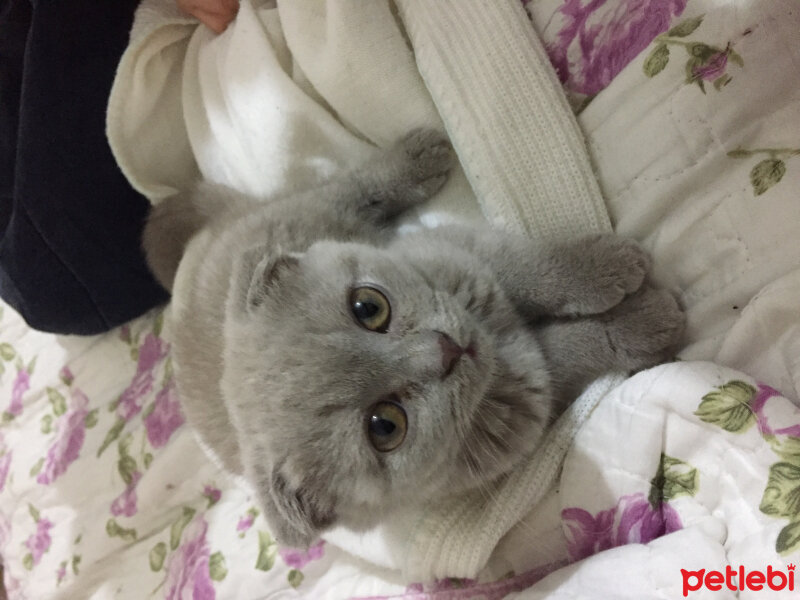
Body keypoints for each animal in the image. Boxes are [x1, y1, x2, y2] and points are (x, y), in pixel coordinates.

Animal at [142, 130, 680, 548]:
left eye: (369, 307)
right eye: (385, 426)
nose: (445, 348)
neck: (493, 336)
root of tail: (202, 243)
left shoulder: (464, 256)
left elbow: (535, 269)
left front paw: (604, 266)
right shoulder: (528, 391)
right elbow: (571, 349)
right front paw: (647, 319)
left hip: (306, 212)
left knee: (349, 187)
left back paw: (418, 154)